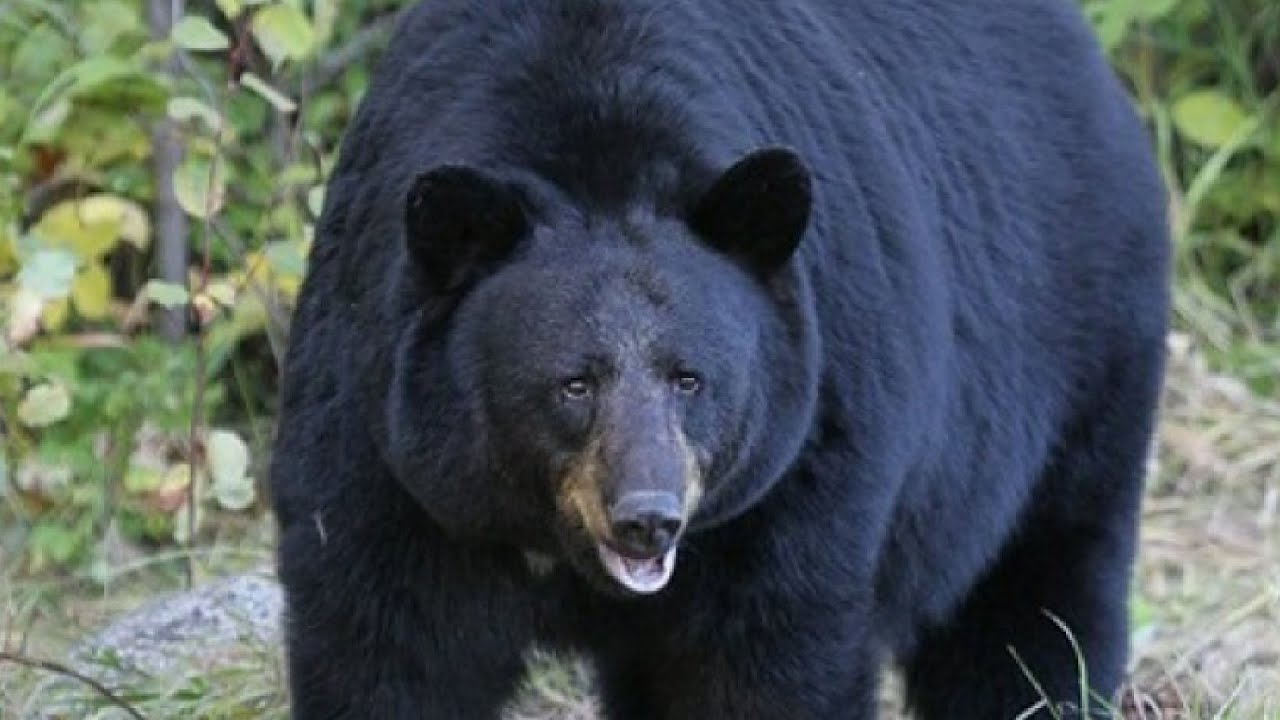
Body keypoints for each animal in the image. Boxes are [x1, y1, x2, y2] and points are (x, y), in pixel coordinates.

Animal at [270, 0, 1172, 712]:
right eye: (573, 383)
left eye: (690, 379)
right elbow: (387, 649)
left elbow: (764, 664)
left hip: (1077, 365)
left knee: (1035, 606)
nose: (647, 518)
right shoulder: (389, 459)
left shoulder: (802, 468)